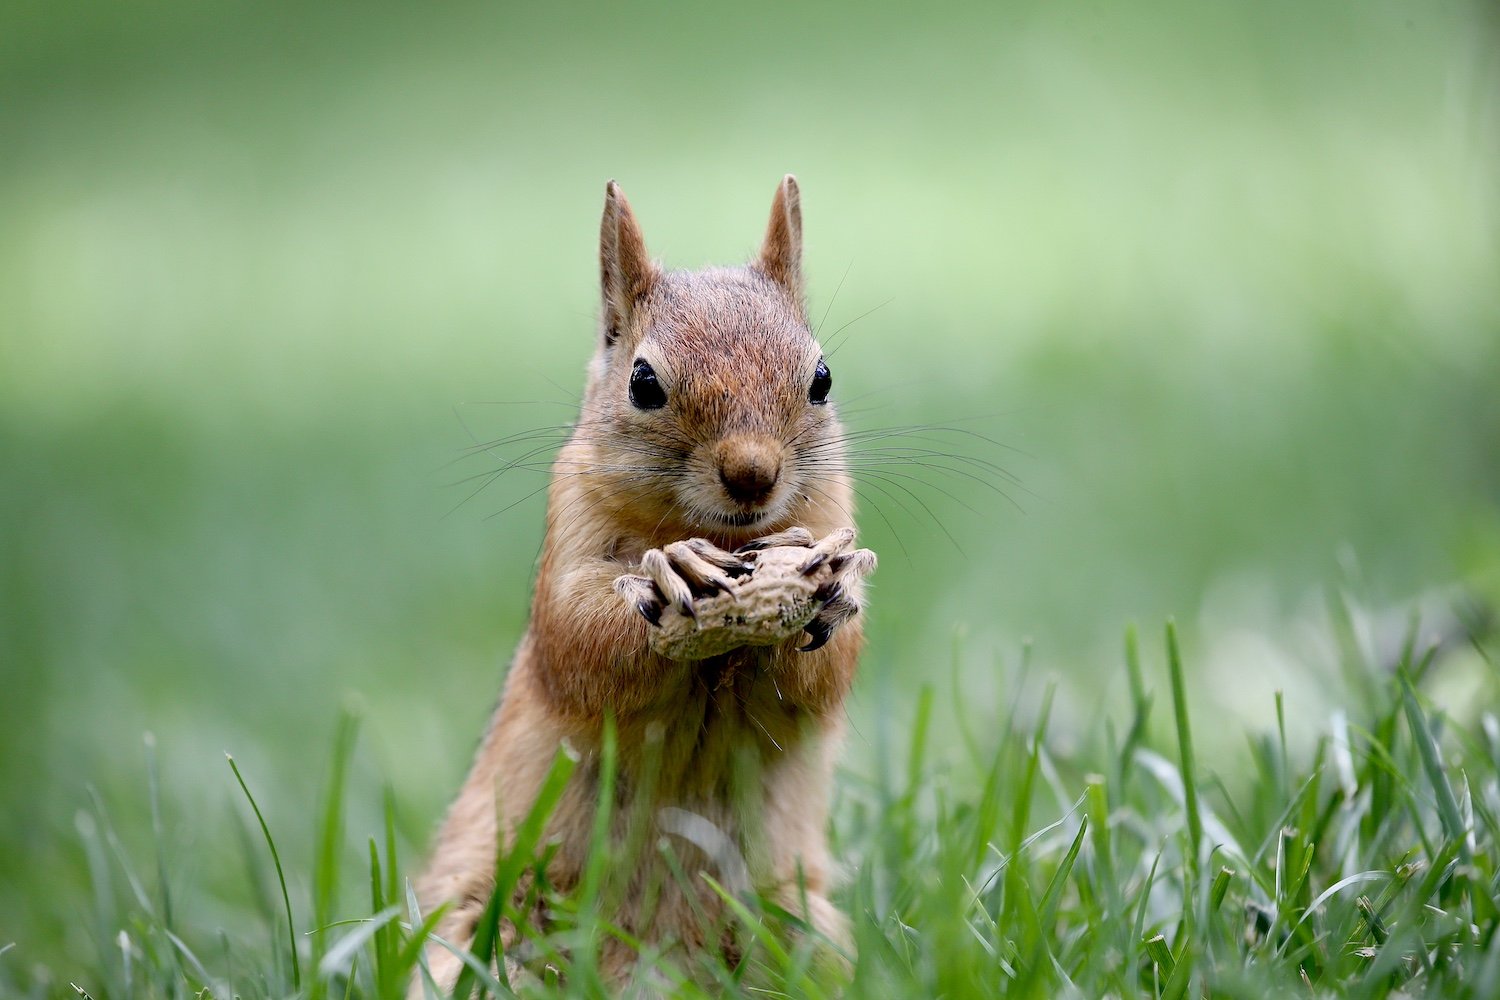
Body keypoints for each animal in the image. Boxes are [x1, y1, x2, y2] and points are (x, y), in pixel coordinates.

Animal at [417, 176, 876, 995]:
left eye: (821, 378)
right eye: (642, 381)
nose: (753, 473)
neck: (729, 537)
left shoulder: (832, 512)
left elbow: (821, 681)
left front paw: (834, 593)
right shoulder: (567, 536)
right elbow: (578, 642)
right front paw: (668, 576)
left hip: (805, 933)